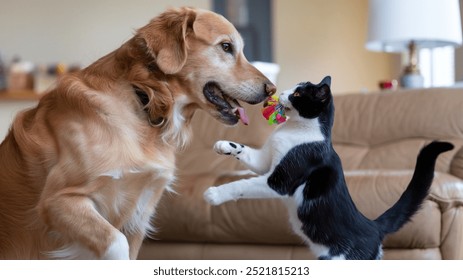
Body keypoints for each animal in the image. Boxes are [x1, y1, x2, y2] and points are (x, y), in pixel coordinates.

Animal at [0, 6, 276, 260]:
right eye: (226, 46)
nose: (271, 89)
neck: (144, 99)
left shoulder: (140, 214)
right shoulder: (58, 201)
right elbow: (115, 243)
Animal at [205, 76, 454, 260]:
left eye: (297, 94)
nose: (281, 91)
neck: (295, 129)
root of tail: (373, 227)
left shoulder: (279, 181)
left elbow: (242, 184)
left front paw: (215, 194)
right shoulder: (265, 162)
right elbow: (246, 152)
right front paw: (223, 145)